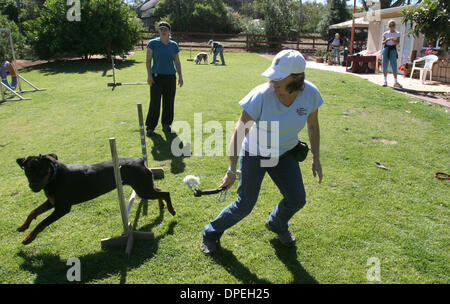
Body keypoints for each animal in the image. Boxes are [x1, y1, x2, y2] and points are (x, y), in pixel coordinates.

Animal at [15, 154, 175, 245]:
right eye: (27, 172)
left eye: (42, 170)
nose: (33, 186)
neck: (54, 177)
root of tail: (141, 160)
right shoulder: (52, 202)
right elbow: (33, 212)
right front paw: (23, 227)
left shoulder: (62, 208)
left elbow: (41, 223)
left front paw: (28, 238)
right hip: (144, 187)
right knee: (159, 190)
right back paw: (162, 206)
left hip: (143, 189)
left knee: (165, 193)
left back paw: (171, 210)